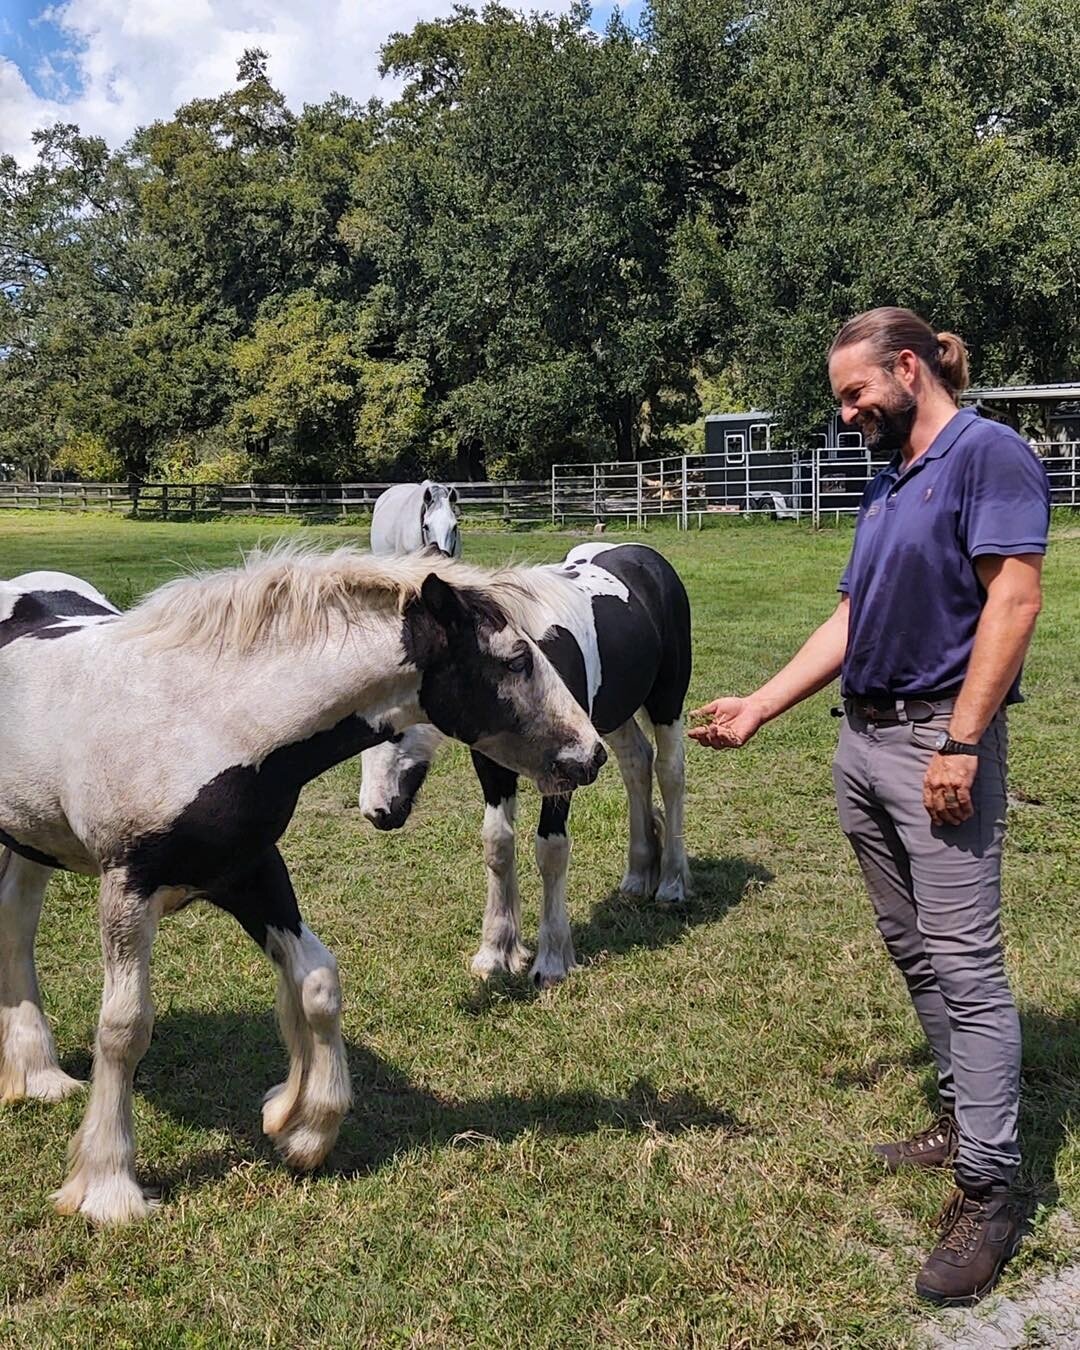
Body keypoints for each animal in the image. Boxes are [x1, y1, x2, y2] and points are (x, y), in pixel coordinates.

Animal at [0, 548, 607, 1225]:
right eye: (516, 659)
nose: (591, 753)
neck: (203, 720)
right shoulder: (128, 887)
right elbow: (124, 1027)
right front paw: (108, 1186)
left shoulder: (252, 871)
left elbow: (317, 982)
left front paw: (302, 1128)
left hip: (32, 840)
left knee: (16, 921)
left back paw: (39, 1076)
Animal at [359, 540, 688, 993]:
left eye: (398, 718)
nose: (376, 811)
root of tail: (644, 555)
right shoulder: (492, 764)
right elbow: (497, 844)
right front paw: (497, 952)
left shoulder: (568, 765)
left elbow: (550, 850)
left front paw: (552, 959)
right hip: (615, 717)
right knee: (636, 762)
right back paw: (639, 874)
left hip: (666, 702)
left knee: (670, 773)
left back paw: (672, 881)